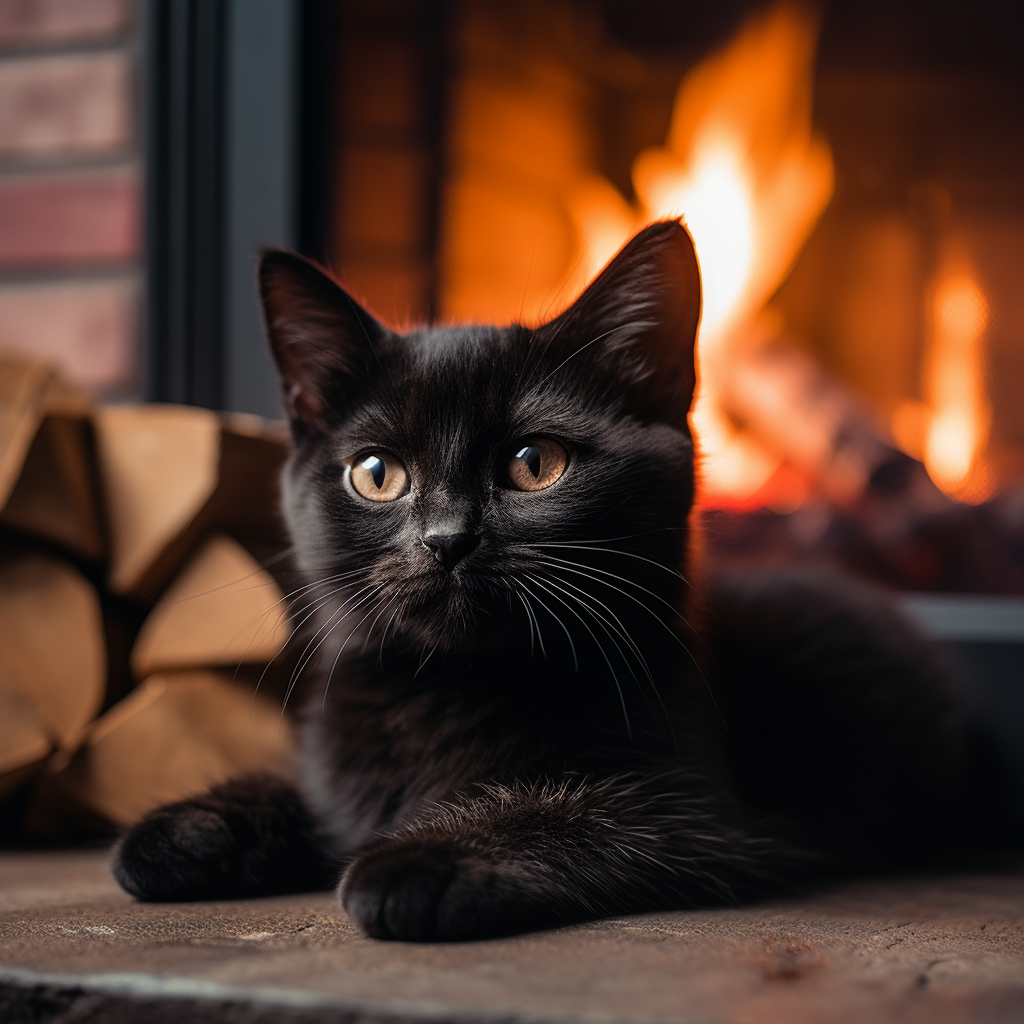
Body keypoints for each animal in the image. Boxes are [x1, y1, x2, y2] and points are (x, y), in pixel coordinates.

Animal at [110, 220, 983, 937]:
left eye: (535, 464)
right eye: (376, 474)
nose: (446, 539)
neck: (449, 689)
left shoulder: (706, 813)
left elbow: (571, 810)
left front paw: (423, 857)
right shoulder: (342, 781)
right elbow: (310, 798)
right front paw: (187, 829)